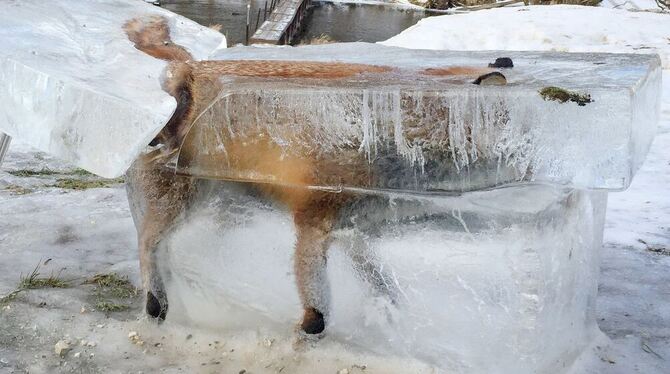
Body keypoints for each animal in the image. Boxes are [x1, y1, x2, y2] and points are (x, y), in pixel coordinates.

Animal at [123, 16, 498, 334]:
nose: (502, 61)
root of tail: (189, 68)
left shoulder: (354, 229)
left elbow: (379, 280)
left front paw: (387, 310)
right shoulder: (313, 219)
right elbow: (318, 305)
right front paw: (309, 329)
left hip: (221, 205)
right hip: (183, 200)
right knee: (148, 242)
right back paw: (156, 301)